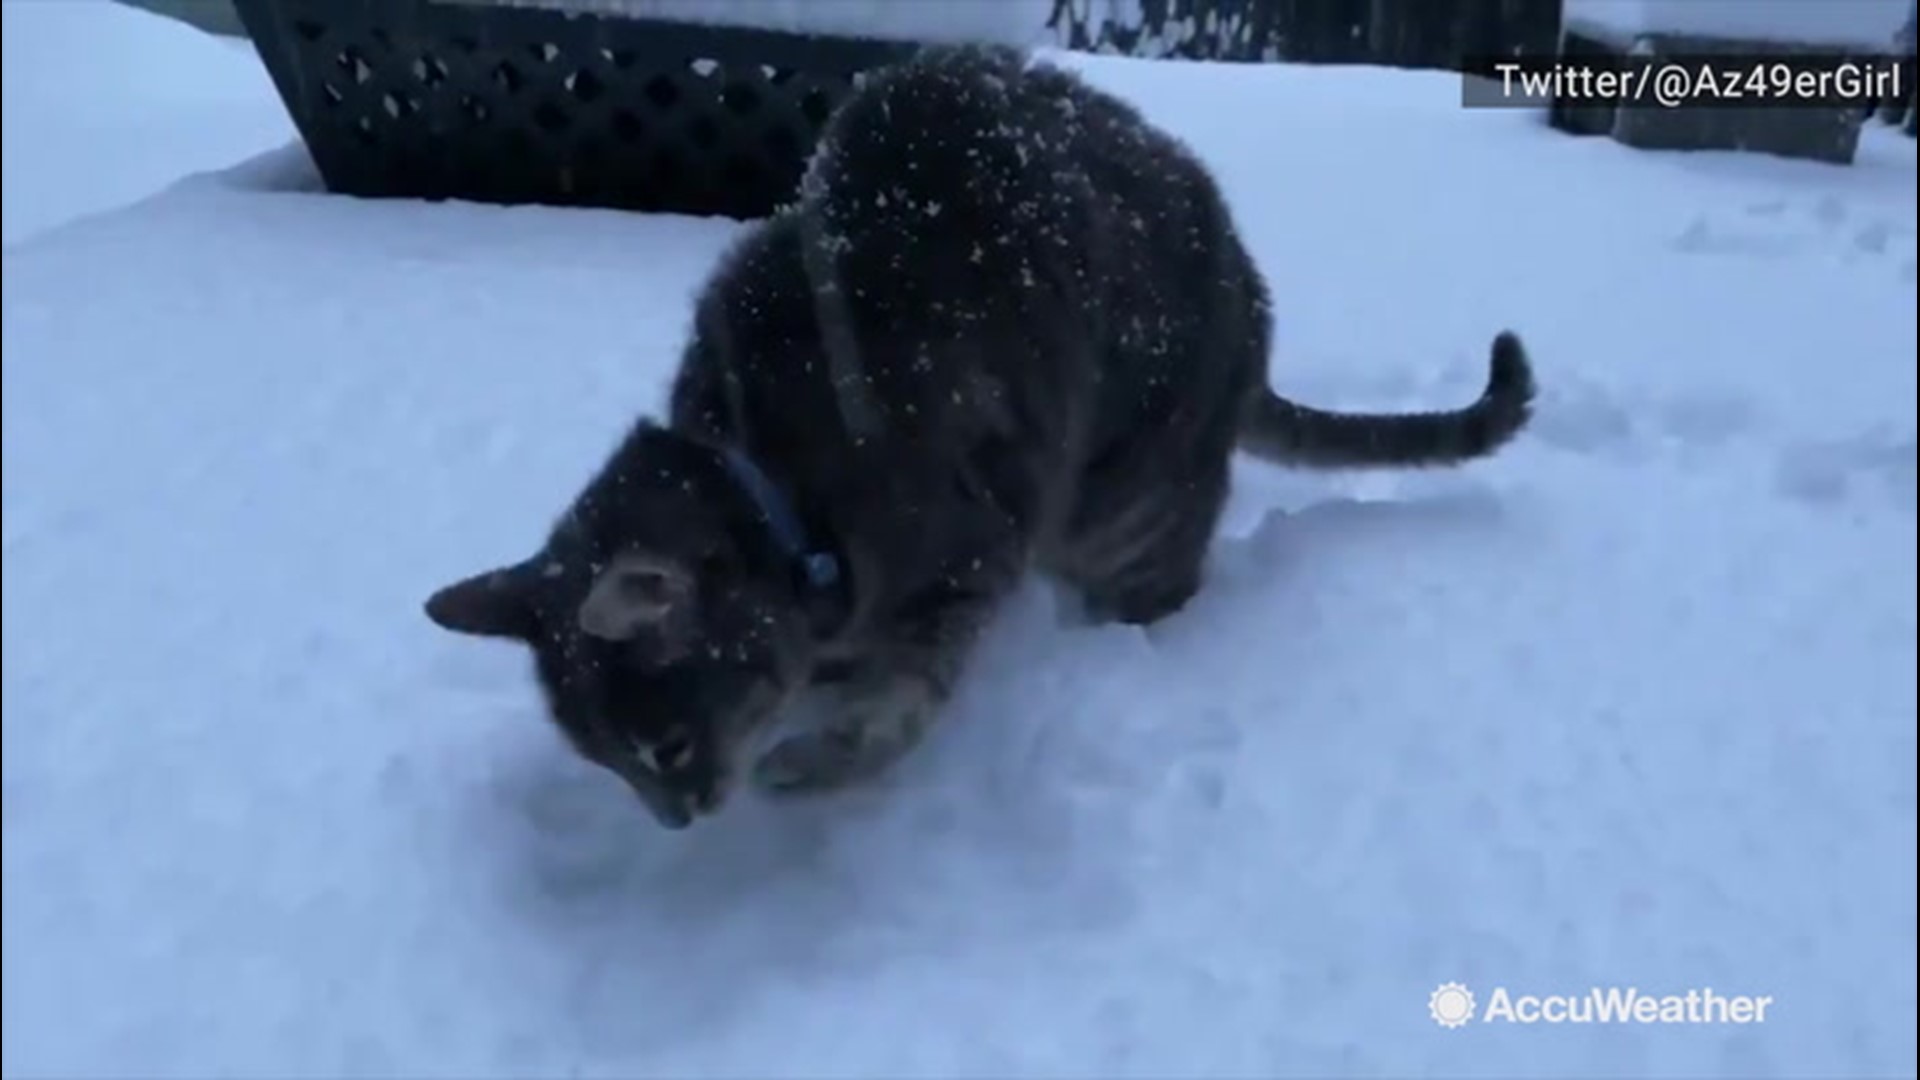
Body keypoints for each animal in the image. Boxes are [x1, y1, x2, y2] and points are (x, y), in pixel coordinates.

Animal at [420, 42, 1528, 826]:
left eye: (664, 750)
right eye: (609, 765)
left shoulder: (967, 554)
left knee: (1161, 583)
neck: (777, 483)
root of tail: (1251, 311)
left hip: (1123, 503)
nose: (673, 823)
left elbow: (900, 710)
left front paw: (819, 758)